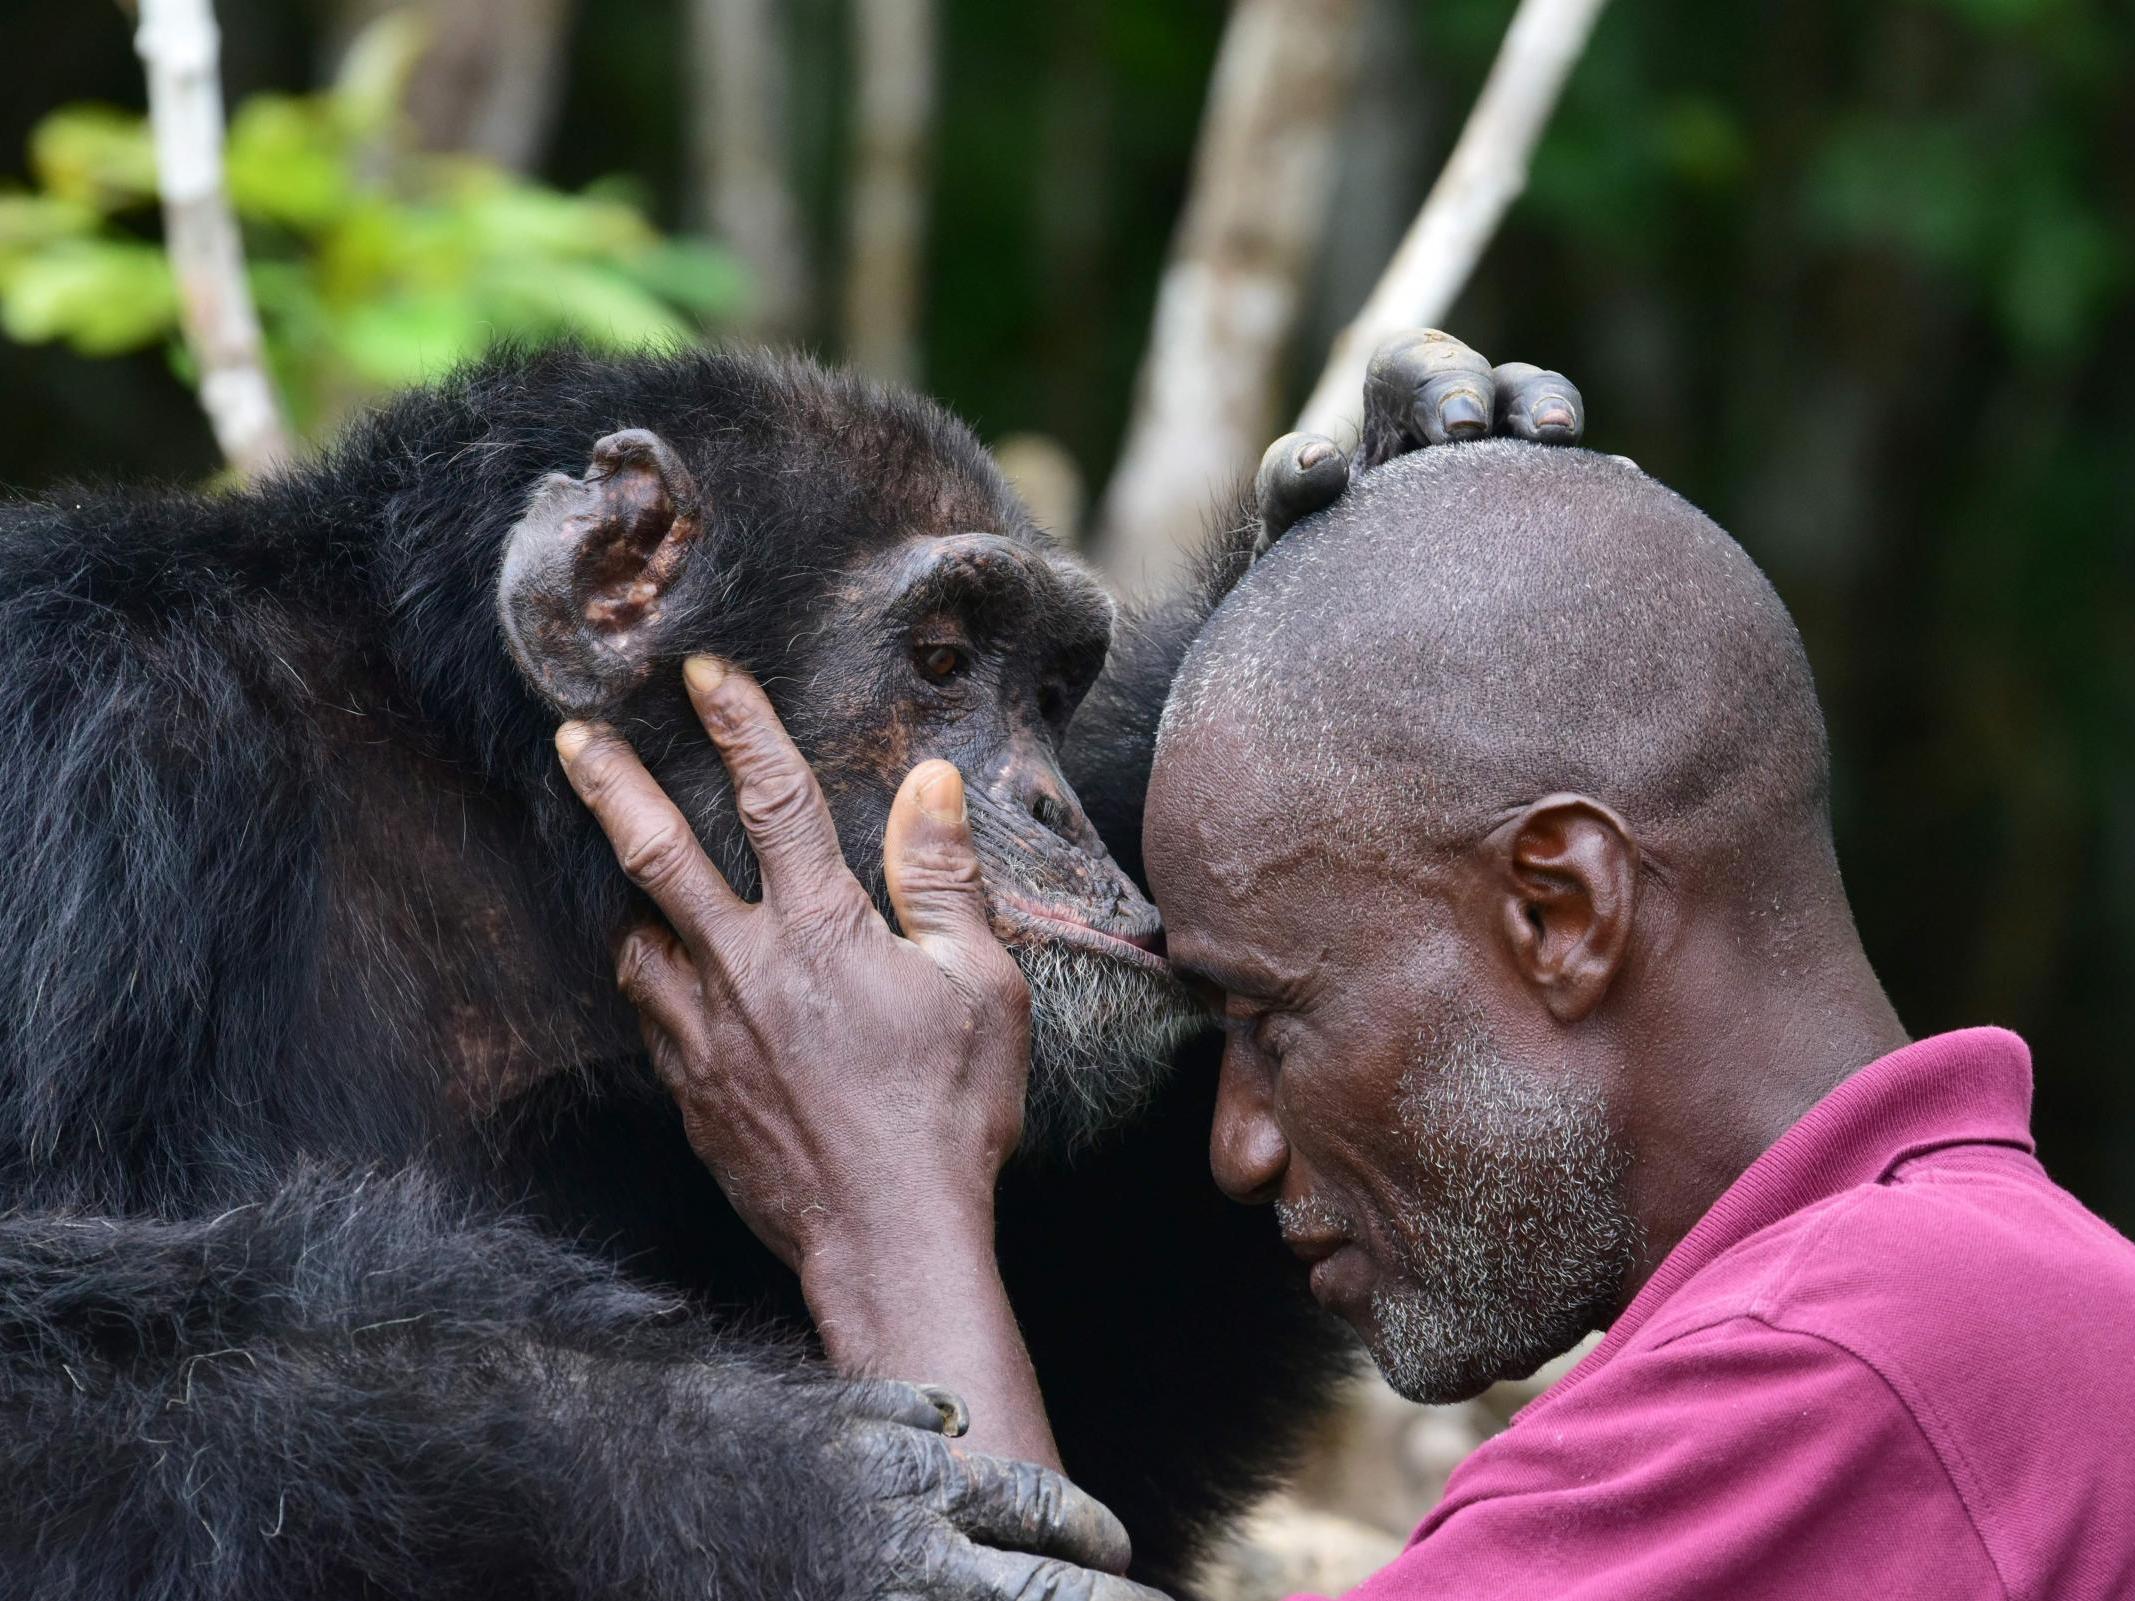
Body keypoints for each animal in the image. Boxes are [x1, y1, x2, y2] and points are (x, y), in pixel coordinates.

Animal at [0, 333, 1571, 1596]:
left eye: (1051, 687)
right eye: (941, 659)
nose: (1057, 804)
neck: (499, 815)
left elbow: (1099, 1408)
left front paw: (1395, 463)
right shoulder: (88, 760)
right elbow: (55, 1382)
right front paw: (771, 1487)